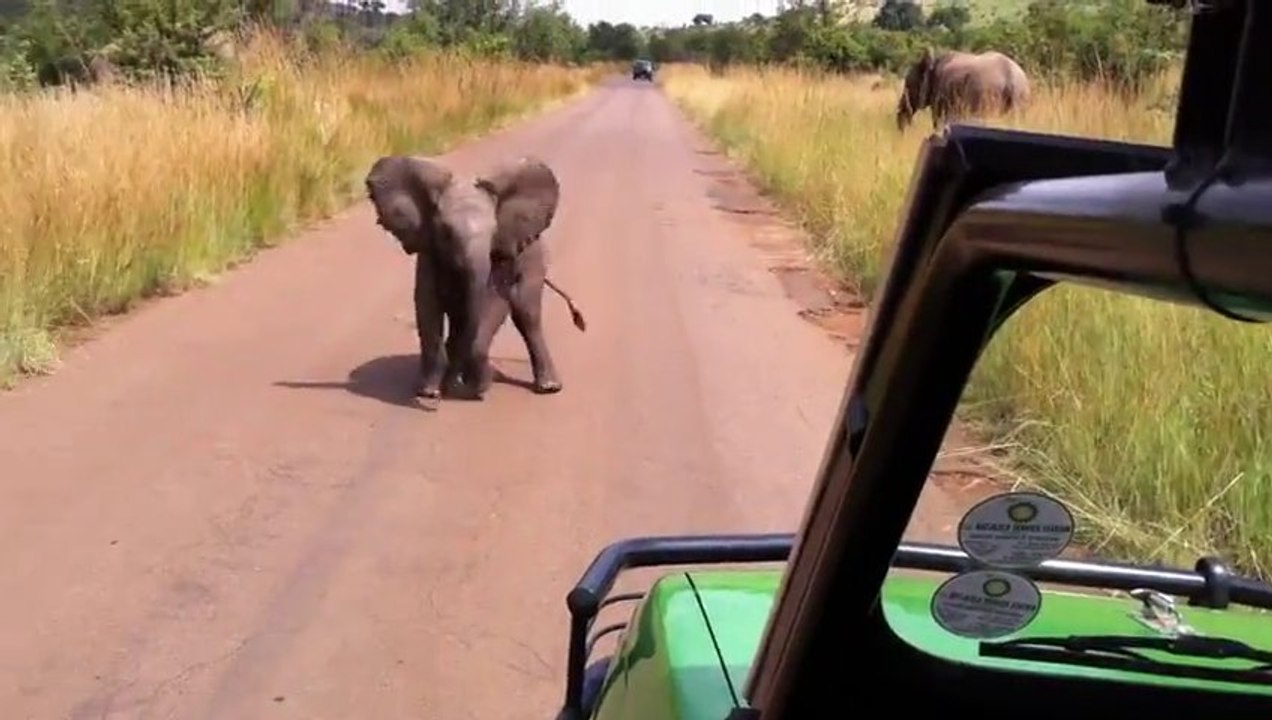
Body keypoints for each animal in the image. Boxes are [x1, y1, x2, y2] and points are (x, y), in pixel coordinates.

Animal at [363, 154, 586, 401]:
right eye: (446, 232)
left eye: (494, 232)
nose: (467, 388)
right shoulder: (429, 252)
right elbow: (427, 306)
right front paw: (430, 392)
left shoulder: (498, 258)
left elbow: (493, 302)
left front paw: (467, 388)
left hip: (535, 262)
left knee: (526, 314)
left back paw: (548, 387)